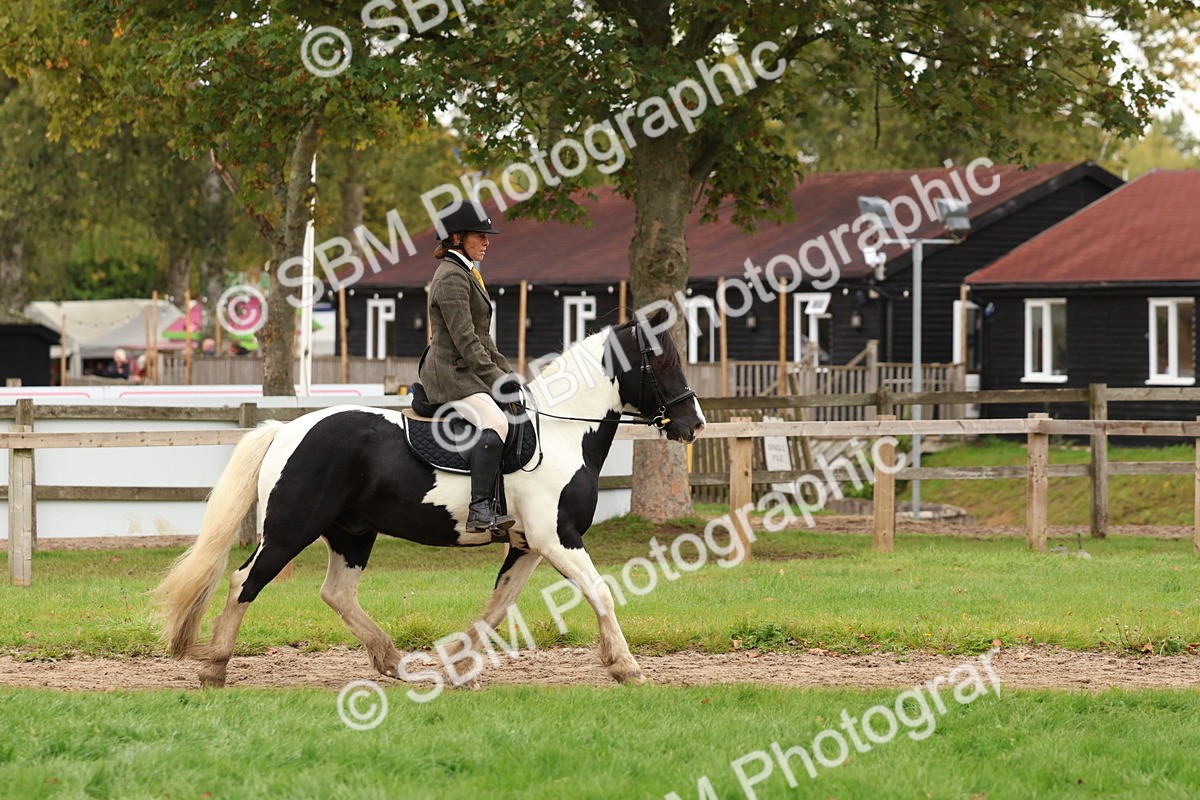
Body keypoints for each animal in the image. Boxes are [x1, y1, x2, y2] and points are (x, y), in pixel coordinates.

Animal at [154, 309, 706, 688]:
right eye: (662, 361)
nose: (694, 423)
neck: (562, 433)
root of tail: (287, 429)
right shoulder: (559, 539)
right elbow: (600, 592)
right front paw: (627, 667)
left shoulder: (529, 545)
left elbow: (497, 606)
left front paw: (458, 663)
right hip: (291, 531)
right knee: (244, 582)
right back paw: (216, 668)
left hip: (352, 533)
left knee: (337, 594)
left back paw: (392, 661)